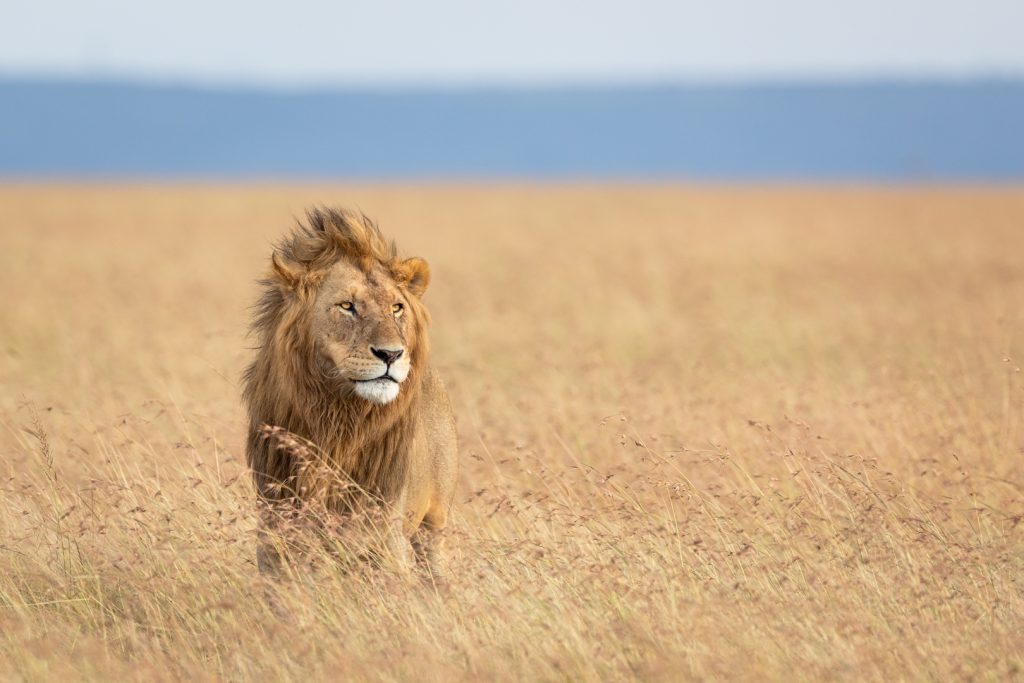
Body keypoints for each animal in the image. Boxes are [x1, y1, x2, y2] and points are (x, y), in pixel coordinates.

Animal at [242, 207, 458, 579]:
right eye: (346, 306)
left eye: (397, 308)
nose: (392, 354)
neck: (337, 415)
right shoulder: (277, 526)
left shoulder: (384, 533)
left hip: (434, 523)